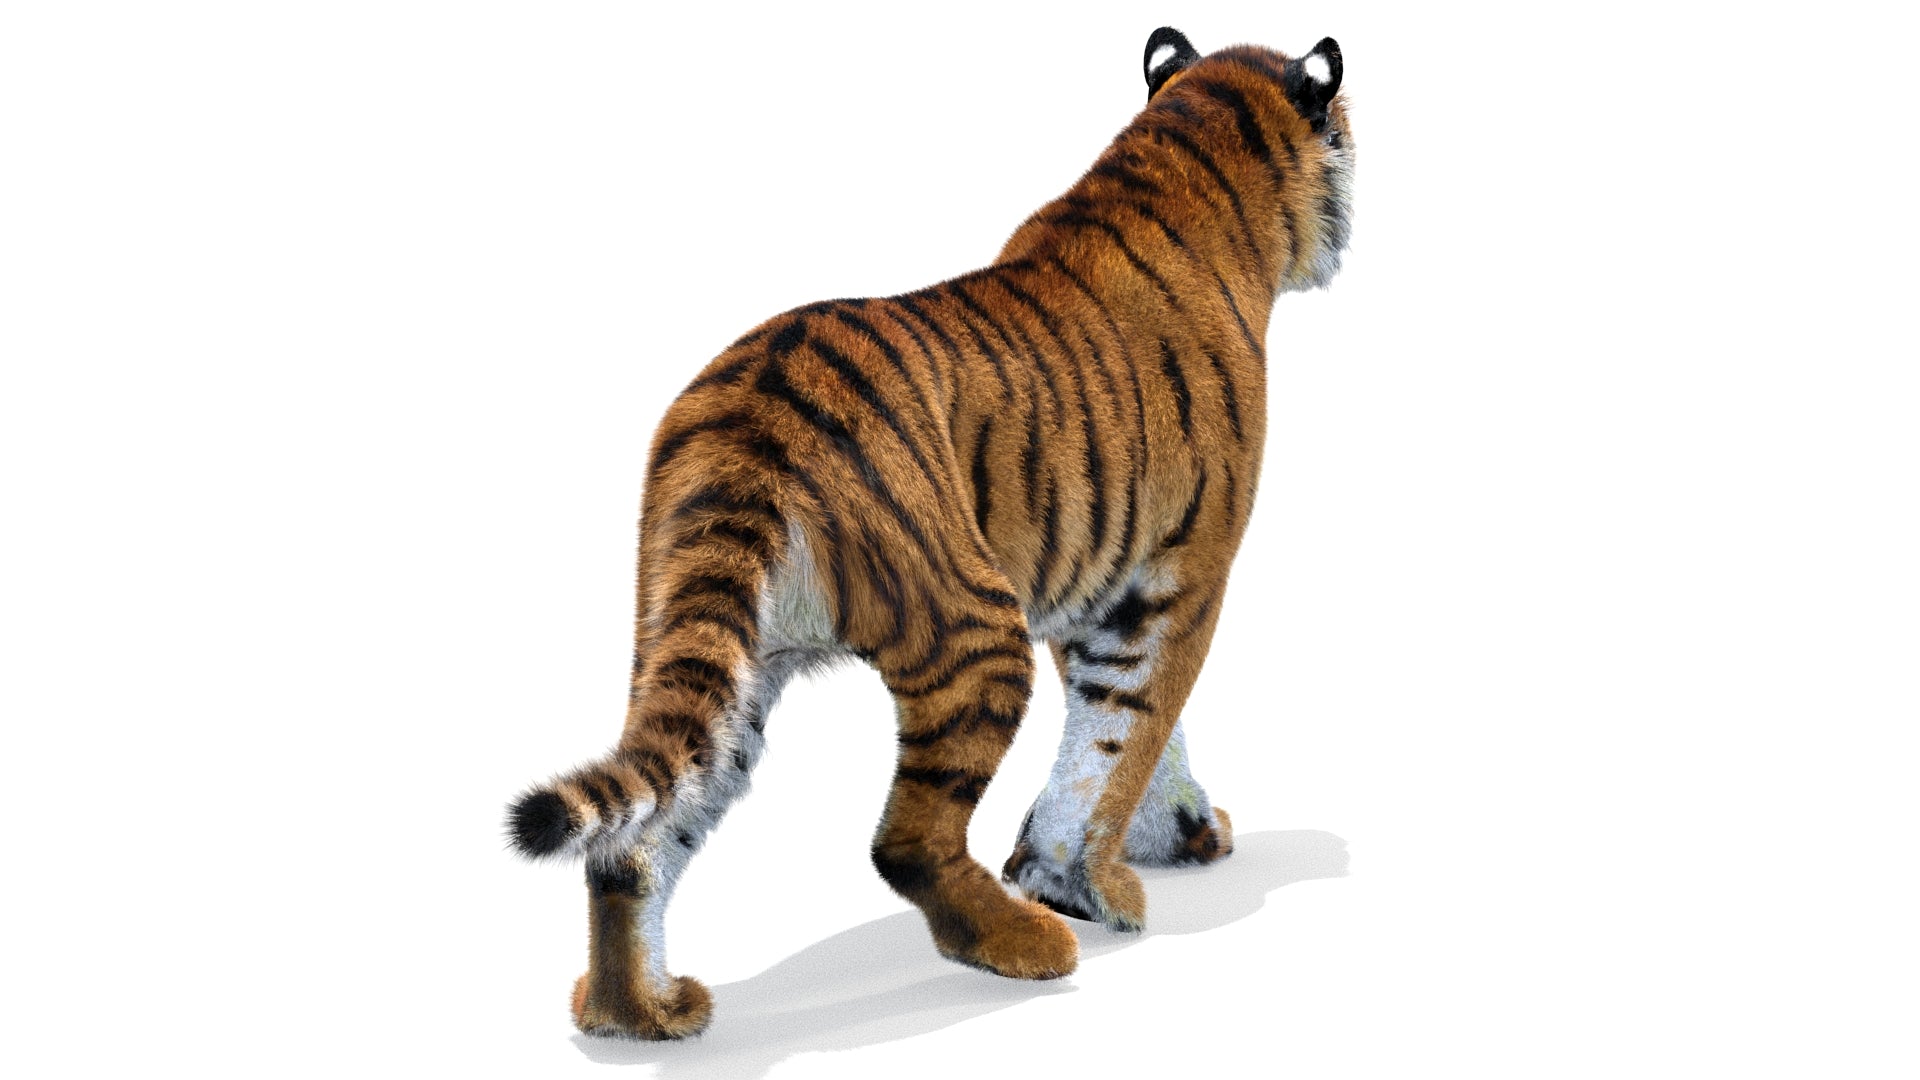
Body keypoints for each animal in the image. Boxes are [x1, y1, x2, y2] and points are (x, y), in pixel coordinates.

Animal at [505, 26, 1352, 1039]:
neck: (1182, 158)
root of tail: (754, 409)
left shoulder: (1087, 583)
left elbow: (1136, 735)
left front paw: (1169, 836)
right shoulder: (1174, 577)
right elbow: (1125, 734)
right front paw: (1083, 885)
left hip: (718, 654)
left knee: (631, 842)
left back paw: (640, 1014)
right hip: (974, 631)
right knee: (902, 841)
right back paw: (1024, 941)